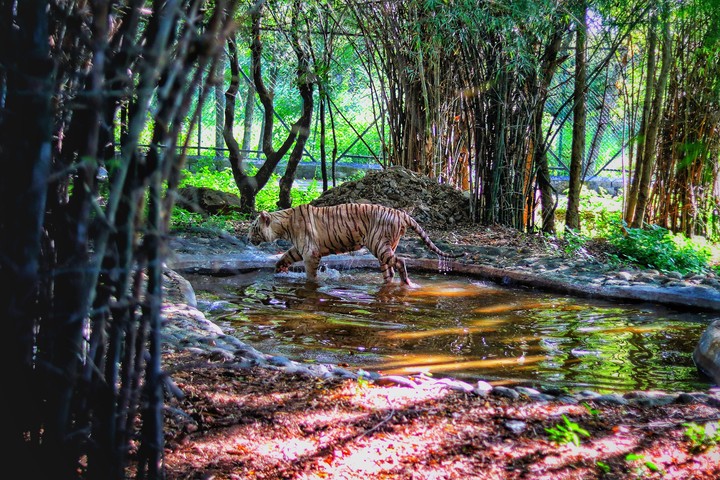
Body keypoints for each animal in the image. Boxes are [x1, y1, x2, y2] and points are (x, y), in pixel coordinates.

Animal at [247, 203, 464, 284]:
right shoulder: (299, 249)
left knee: (400, 262)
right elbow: (284, 257)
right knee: (390, 271)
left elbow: (311, 276)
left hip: (379, 245)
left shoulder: (310, 253)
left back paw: (407, 284)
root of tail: (401, 213)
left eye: (253, 227)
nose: (247, 239)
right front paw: (280, 271)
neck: (284, 224)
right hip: (385, 249)